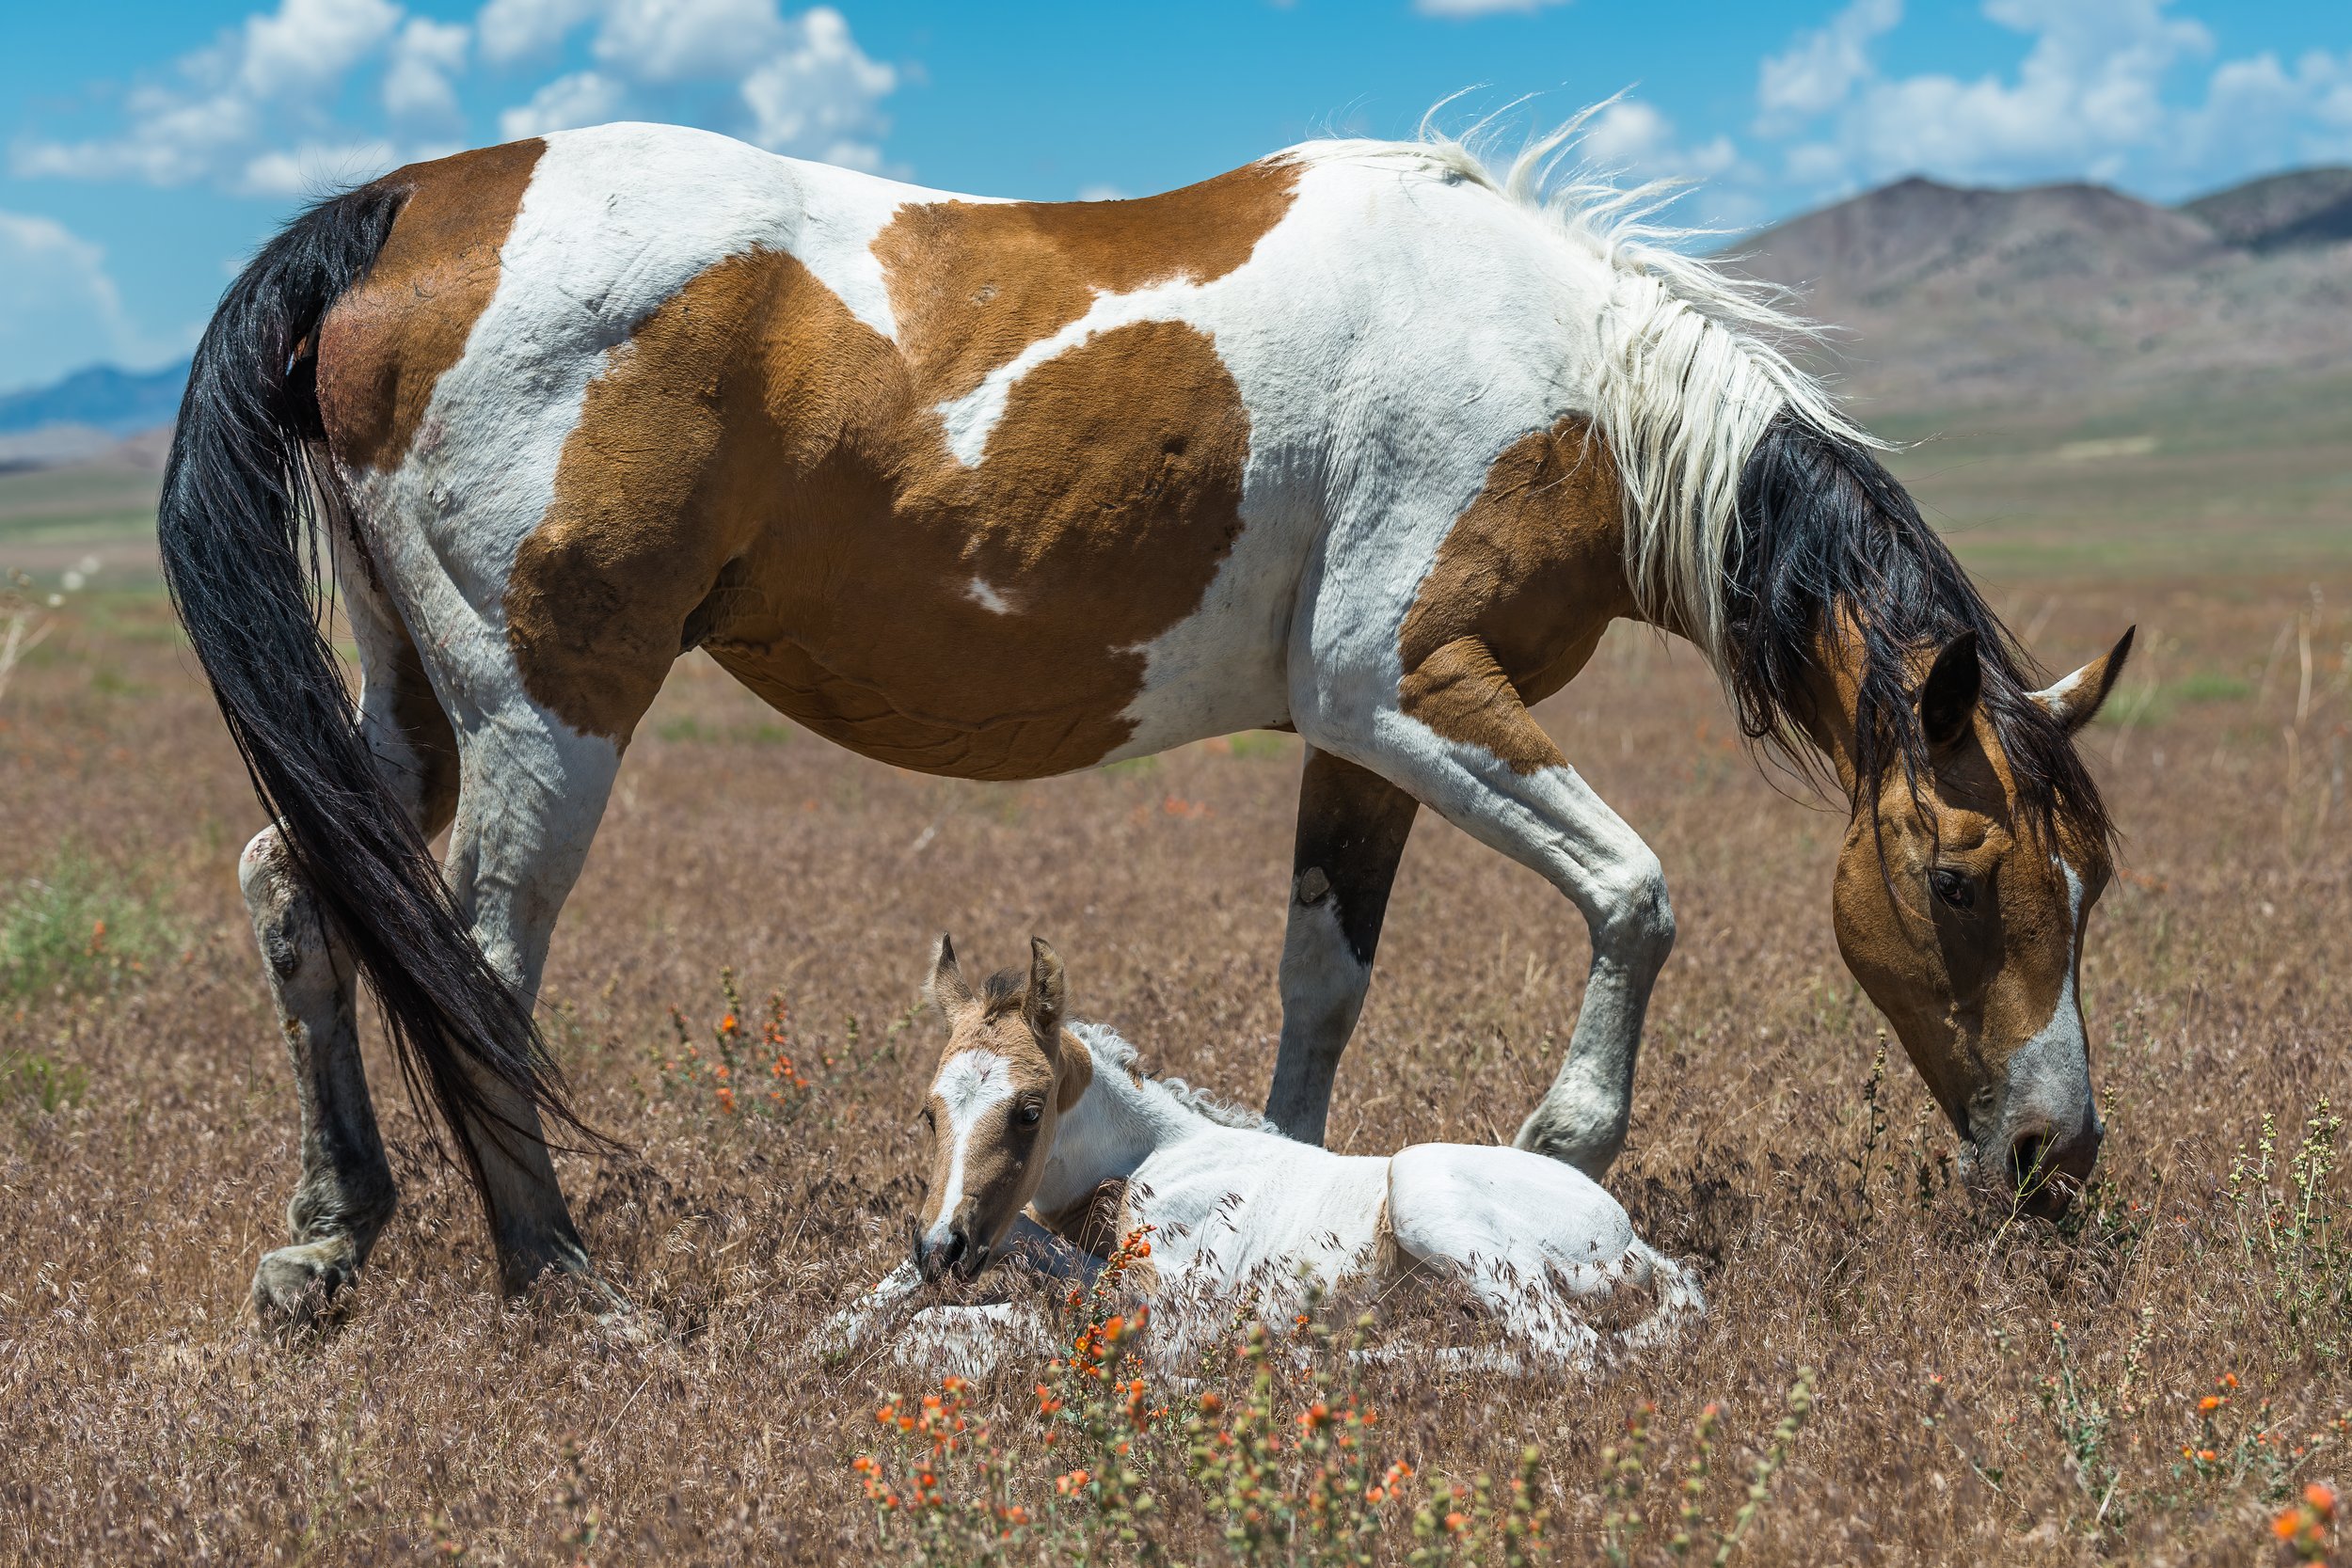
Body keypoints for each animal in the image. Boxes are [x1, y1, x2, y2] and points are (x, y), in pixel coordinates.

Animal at [159, 110, 2132, 1324]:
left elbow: (1322, 980)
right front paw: (1568, 1139)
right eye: (1958, 877)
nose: (2056, 1155)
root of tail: (399, 212)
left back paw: (327, 1238)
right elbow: (1637, 892)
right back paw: (561, 1277)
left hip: (408, 702)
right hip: (545, 708)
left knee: (300, 889)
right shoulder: (1409, 689)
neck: (1559, 380)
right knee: (478, 963)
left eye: (2090, 881)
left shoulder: (1362, 741)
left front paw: (1289, 1186)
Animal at [825, 936, 1704, 1373]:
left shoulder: (1178, 1310)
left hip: (1425, 1190)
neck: (1152, 1158)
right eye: (928, 1112)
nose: (943, 1247)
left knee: (1575, 1354)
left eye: (1029, 1110)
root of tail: (1637, 1244)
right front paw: (828, 1340)